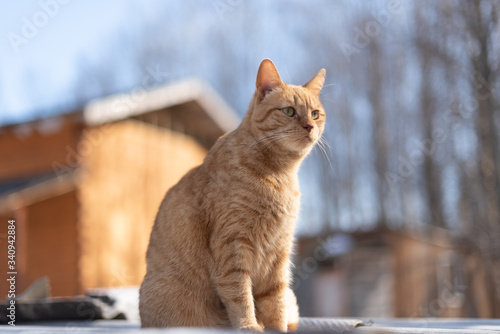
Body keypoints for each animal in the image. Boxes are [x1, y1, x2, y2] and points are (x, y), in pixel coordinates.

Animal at [140, 58, 328, 332]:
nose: (310, 126)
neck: (279, 174)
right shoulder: (232, 244)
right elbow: (240, 293)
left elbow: (276, 299)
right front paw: (249, 325)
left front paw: (276, 328)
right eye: (289, 112)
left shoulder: (279, 250)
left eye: (315, 113)